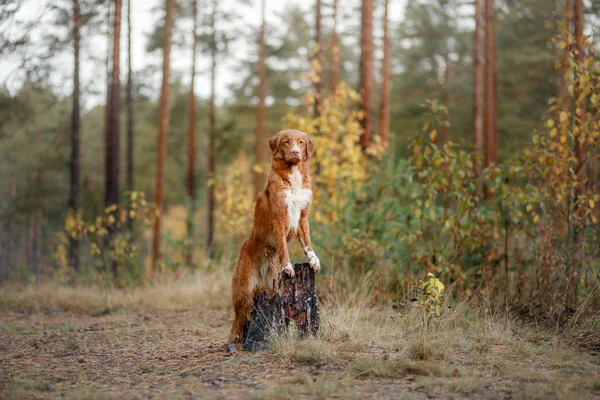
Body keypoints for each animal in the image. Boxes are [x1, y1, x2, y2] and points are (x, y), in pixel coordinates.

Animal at [230, 130, 322, 342]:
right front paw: (288, 267)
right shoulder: (279, 218)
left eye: (301, 142)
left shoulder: (302, 216)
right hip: (244, 289)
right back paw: (235, 341)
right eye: (287, 142)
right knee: (237, 320)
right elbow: (283, 247)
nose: (295, 152)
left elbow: (307, 242)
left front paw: (314, 260)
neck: (293, 173)